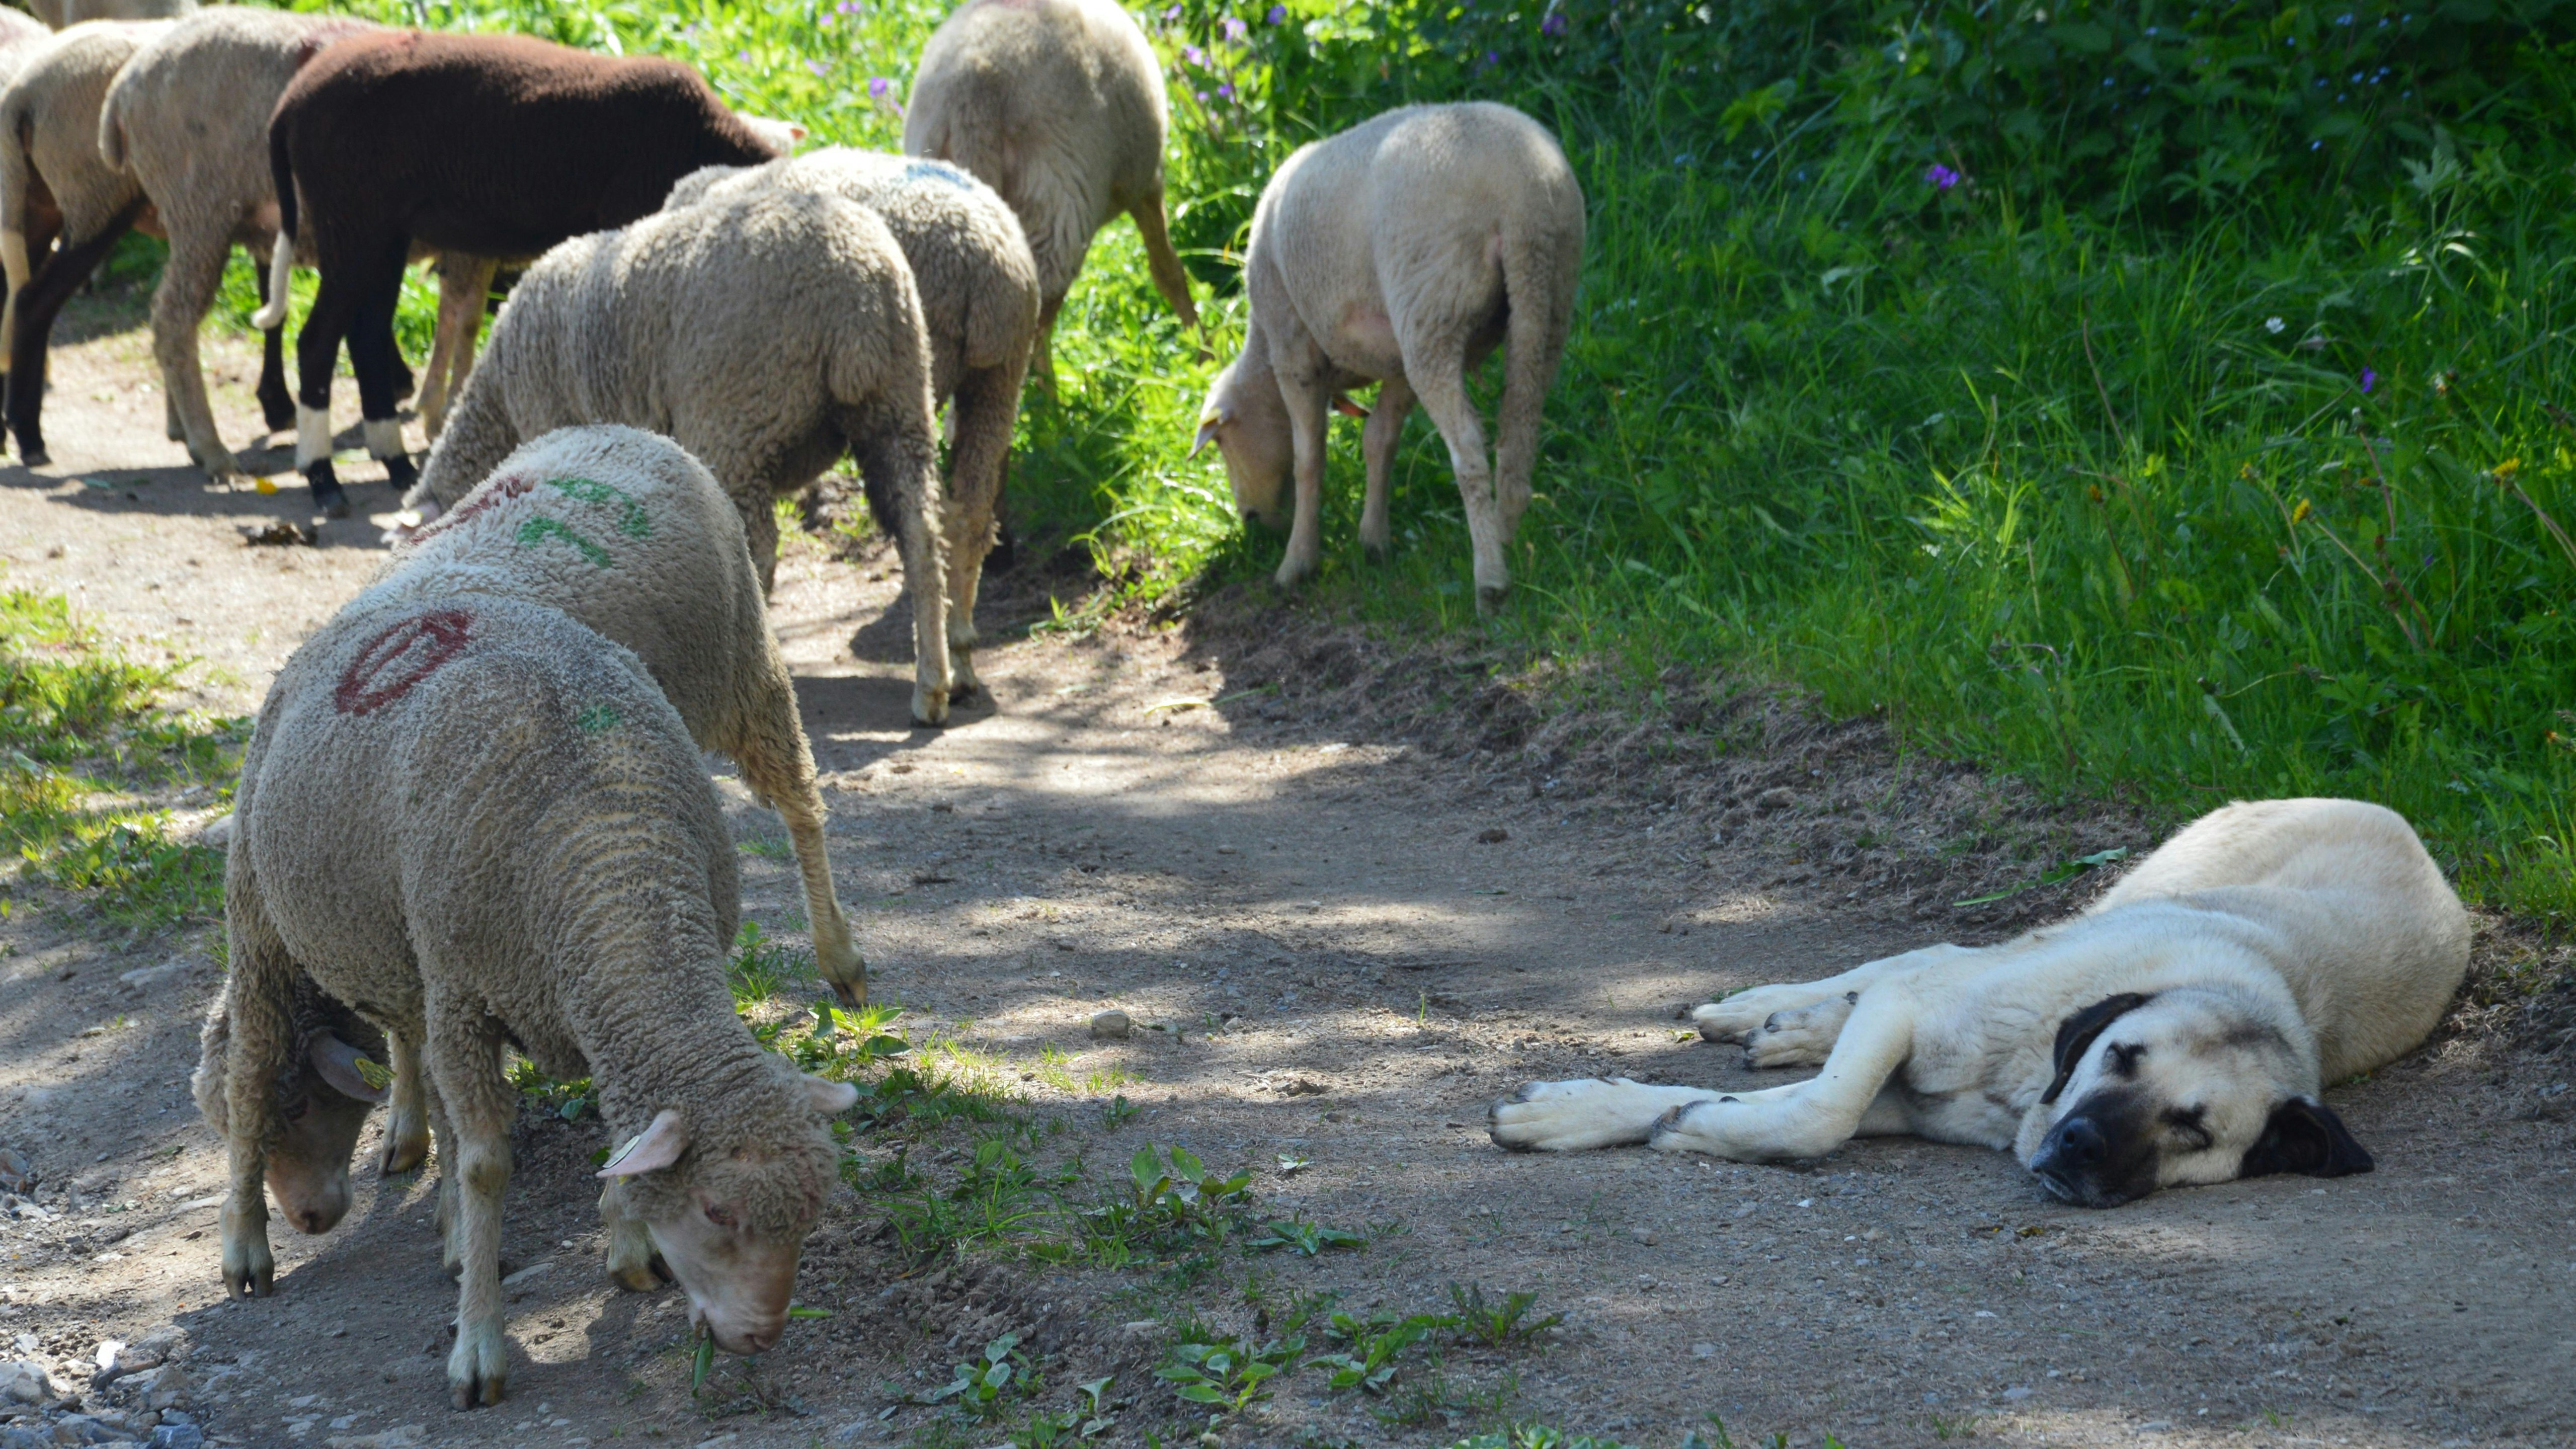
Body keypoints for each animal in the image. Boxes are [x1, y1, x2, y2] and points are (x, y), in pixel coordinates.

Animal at [218, 581, 858, 1408]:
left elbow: (617, 1144)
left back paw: (447, 1226)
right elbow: (487, 1166)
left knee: (420, 1072)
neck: (614, 856)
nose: (761, 1335)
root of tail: (402, 599)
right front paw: (479, 1349)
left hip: (406, 961)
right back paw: (246, 1247)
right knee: (251, 1075)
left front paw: (626, 1248)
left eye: (812, 1209)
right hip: (263, 922)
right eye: (716, 1209)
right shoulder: (464, 995)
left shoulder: (573, 1000)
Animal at [253, 30, 785, 519]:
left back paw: (395, 461)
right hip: (350, 218)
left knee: (365, 337)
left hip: (384, 232)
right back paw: (323, 477)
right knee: (318, 341)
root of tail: (290, 104)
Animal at [401, 187, 954, 726]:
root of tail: (858, 291)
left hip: (739, 411)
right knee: (922, 535)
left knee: (759, 549)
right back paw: (933, 687)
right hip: (899, 403)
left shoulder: (548, 421)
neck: (494, 398)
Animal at [903, 0, 1206, 387]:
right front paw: (1204, 354)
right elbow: (1167, 270)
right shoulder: (1145, 181)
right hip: (1055, 205)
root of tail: (973, 95)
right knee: (1033, 318)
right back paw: (1048, 400)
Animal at [1192, 102, 1584, 615]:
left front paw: (1297, 562)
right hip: (1544, 298)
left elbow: (1308, 457)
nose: (1252, 521)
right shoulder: (1397, 359)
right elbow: (1379, 439)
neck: (1262, 355)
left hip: (1430, 306)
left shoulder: (1293, 344)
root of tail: (1523, 195)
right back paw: (1505, 542)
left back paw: (1490, 580)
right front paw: (1374, 541)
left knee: (1469, 451)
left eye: (1221, 443)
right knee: (1518, 438)